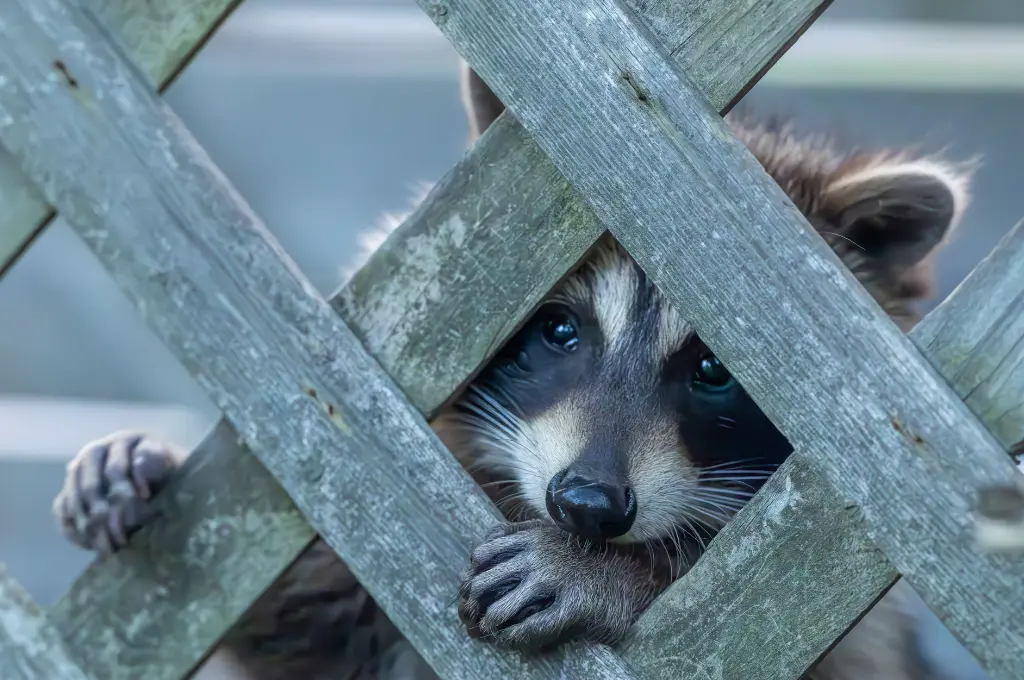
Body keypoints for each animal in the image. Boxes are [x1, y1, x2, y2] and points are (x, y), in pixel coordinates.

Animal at [51, 63, 974, 680]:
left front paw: (620, 578)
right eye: (560, 330)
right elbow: (290, 627)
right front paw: (139, 462)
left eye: (715, 368)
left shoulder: (847, 630)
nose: (587, 506)